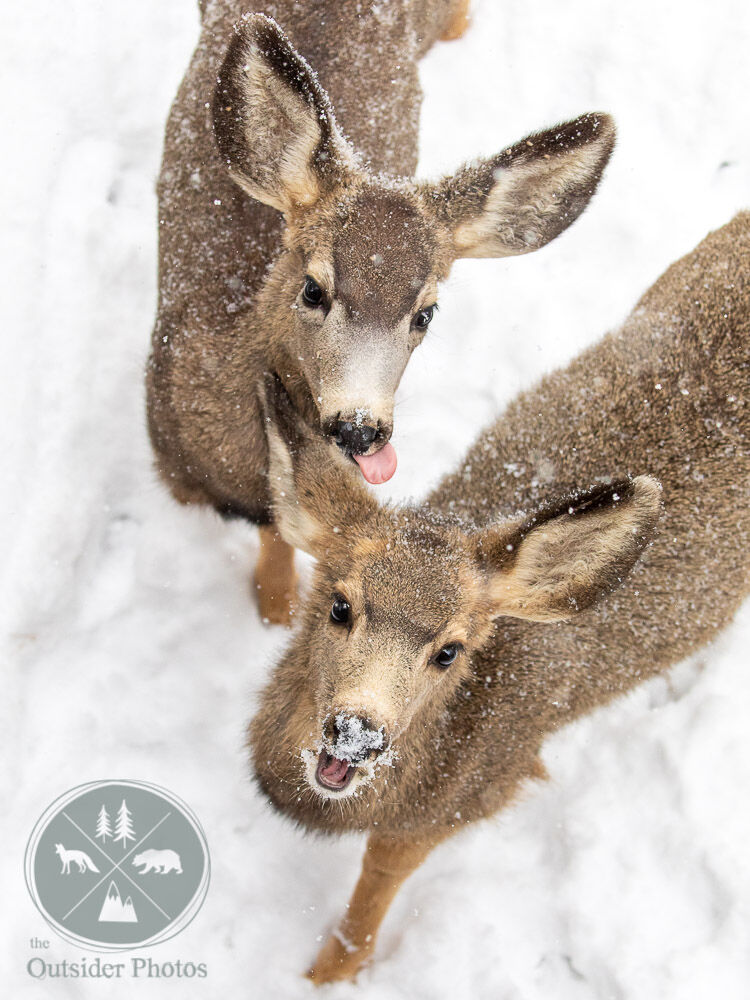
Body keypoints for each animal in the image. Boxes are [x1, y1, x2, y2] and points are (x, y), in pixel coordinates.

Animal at [253, 215, 750, 980]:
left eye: (451, 651)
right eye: (339, 605)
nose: (358, 732)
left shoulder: (475, 793)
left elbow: (378, 882)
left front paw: (327, 974)